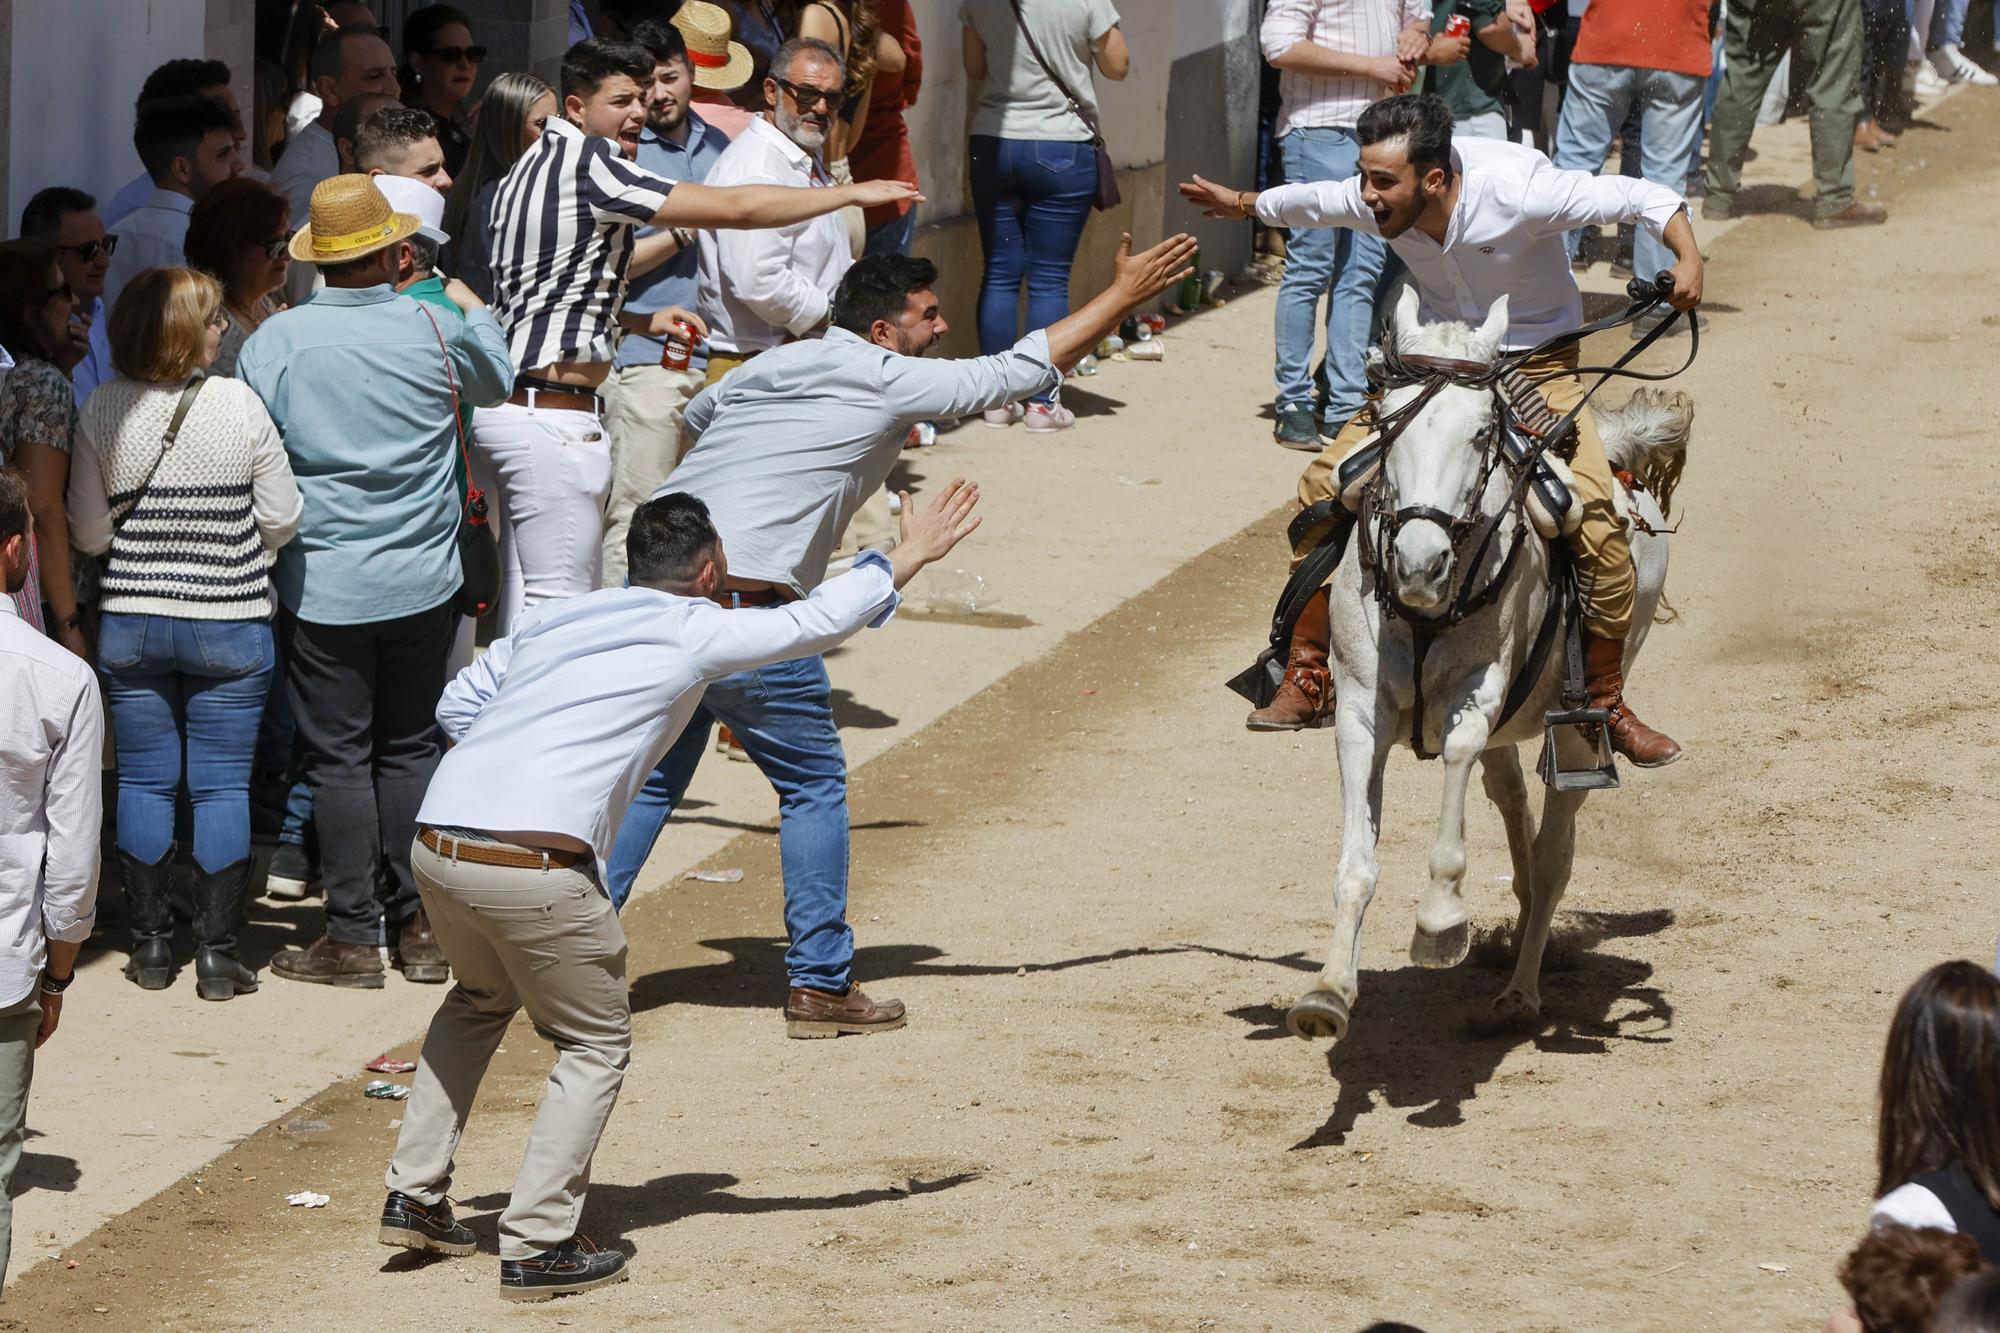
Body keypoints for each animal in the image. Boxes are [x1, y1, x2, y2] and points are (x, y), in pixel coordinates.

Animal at [1288, 288, 1696, 1040]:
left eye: (1482, 433)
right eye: (1385, 422)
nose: (1419, 563)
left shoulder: (1475, 701)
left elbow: (1456, 768)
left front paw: (1441, 921)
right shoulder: (1360, 712)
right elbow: (1357, 863)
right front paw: (1328, 992)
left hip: (1577, 730)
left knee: (1554, 852)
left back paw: (1520, 993)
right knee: (1512, 805)